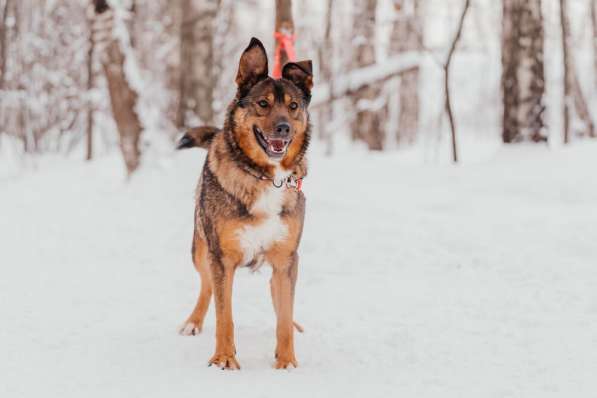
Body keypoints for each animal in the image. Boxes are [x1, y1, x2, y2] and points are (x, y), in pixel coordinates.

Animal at [176, 38, 312, 370]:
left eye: (293, 106)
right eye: (263, 103)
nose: (284, 128)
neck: (267, 177)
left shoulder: (286, 259)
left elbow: (284, 315)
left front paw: (287, 362)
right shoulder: (221, 258)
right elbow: (224, 316)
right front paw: (224, 358)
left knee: (279, 299)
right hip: (200, 249)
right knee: (206, 287)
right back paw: (193, 321)